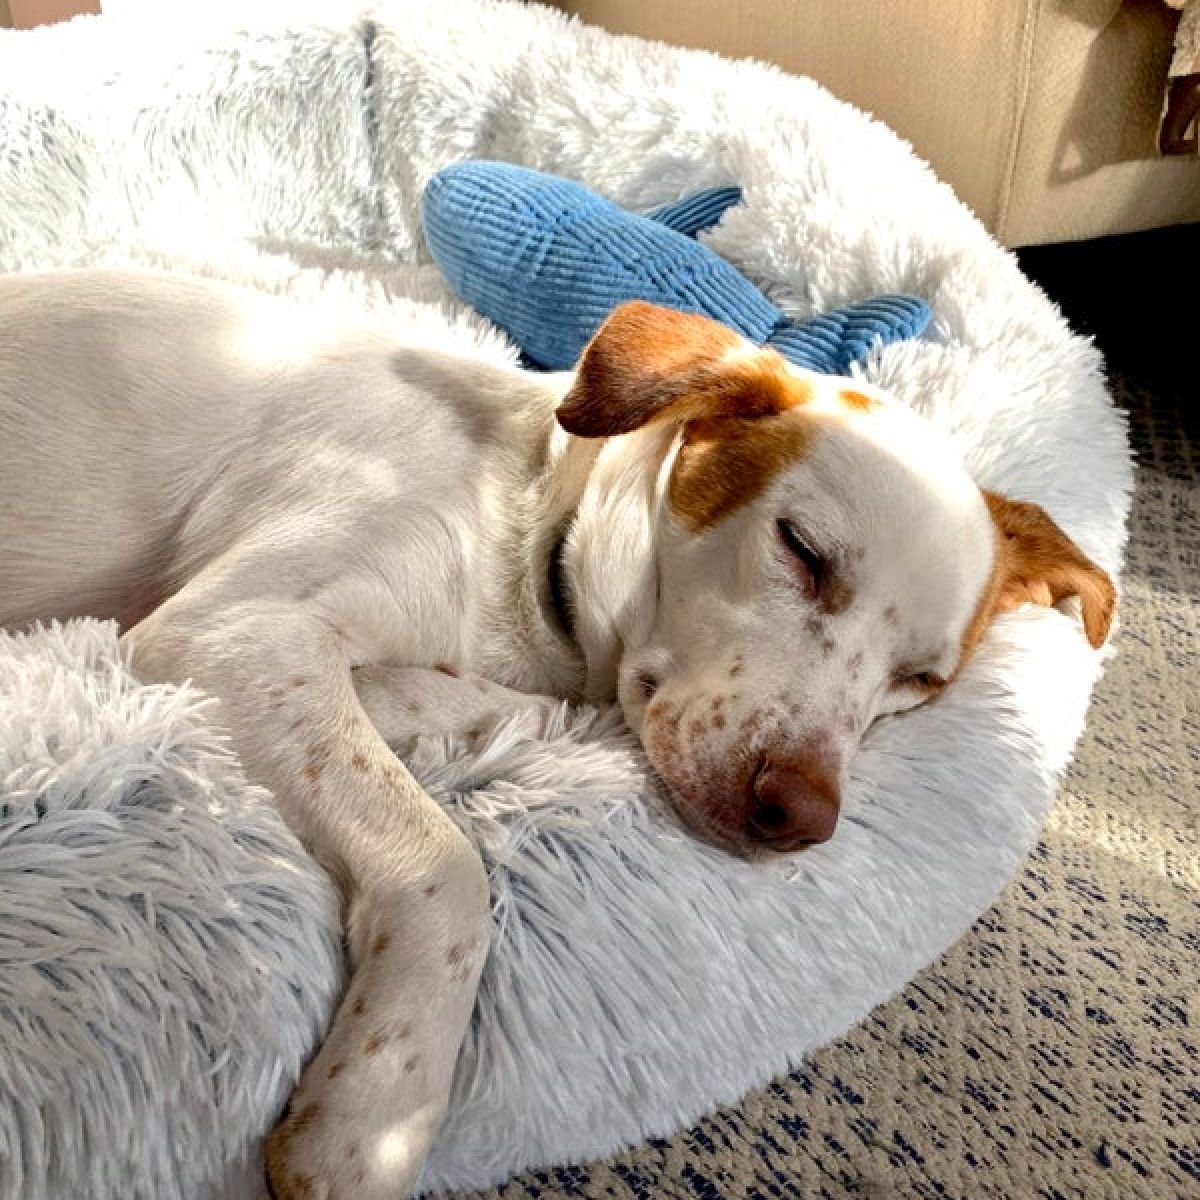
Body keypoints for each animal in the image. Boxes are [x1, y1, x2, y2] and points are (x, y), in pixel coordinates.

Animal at [0, 272, 1113, 1200]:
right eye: (801, 548)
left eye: (923, 680)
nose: (799, 814)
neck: (529, 522)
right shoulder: (235, 631)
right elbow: (445, 866)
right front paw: (375, 1114)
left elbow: (475, 710)